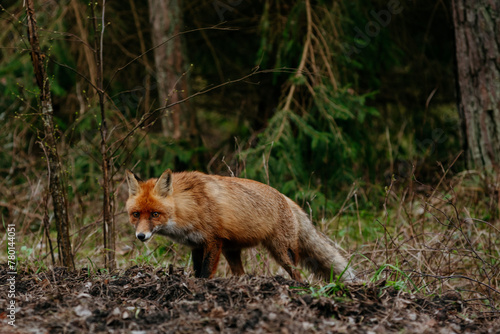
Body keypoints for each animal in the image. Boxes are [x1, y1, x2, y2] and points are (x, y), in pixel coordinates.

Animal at [125, 170, 358, 282]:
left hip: (282, 252)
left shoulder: (213, 241)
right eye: (136, 215)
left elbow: (205, 272)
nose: (141, 236)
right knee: (241, 274)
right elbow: (198, 271)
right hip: (232, 252)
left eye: (155, 214)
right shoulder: (196, 245)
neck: (190, 206)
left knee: (298, 275)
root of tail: (285, 197)